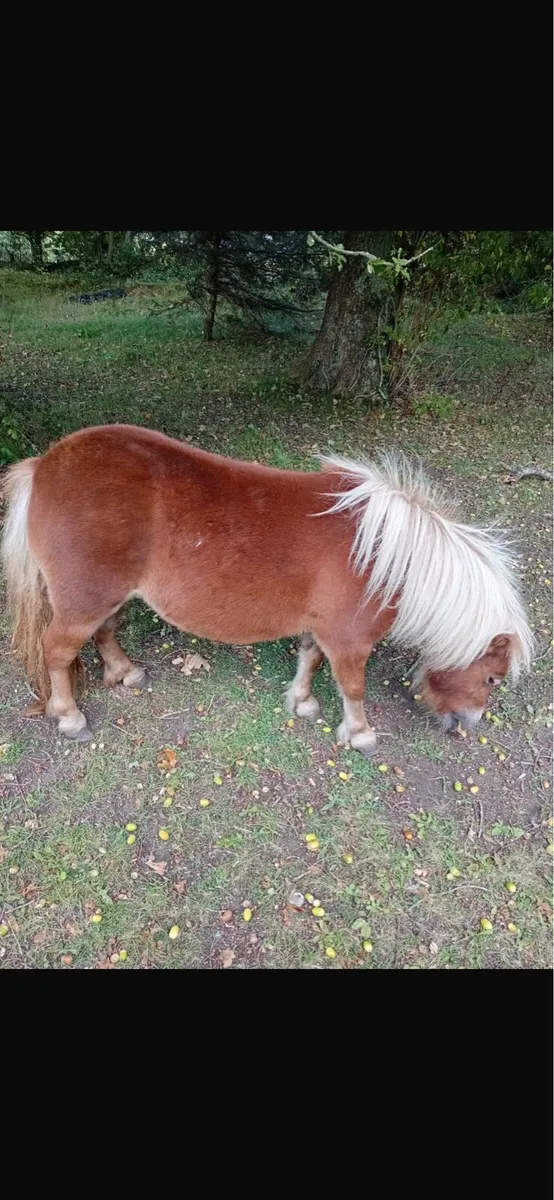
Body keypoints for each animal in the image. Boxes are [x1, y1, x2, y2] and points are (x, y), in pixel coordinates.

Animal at [1, 424, 533, 749]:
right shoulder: (350, 640)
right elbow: (353, 685)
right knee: (58, 650)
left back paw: (125, 672)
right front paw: (359, 733)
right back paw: (69, 715)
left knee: (105, 632)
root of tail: (45, 465)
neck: (384, 554)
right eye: (492, 679)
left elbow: (310, 658)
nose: (468, 725)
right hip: (83, 599)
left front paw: (301, 701)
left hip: (108, 594)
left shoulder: (322, 629)